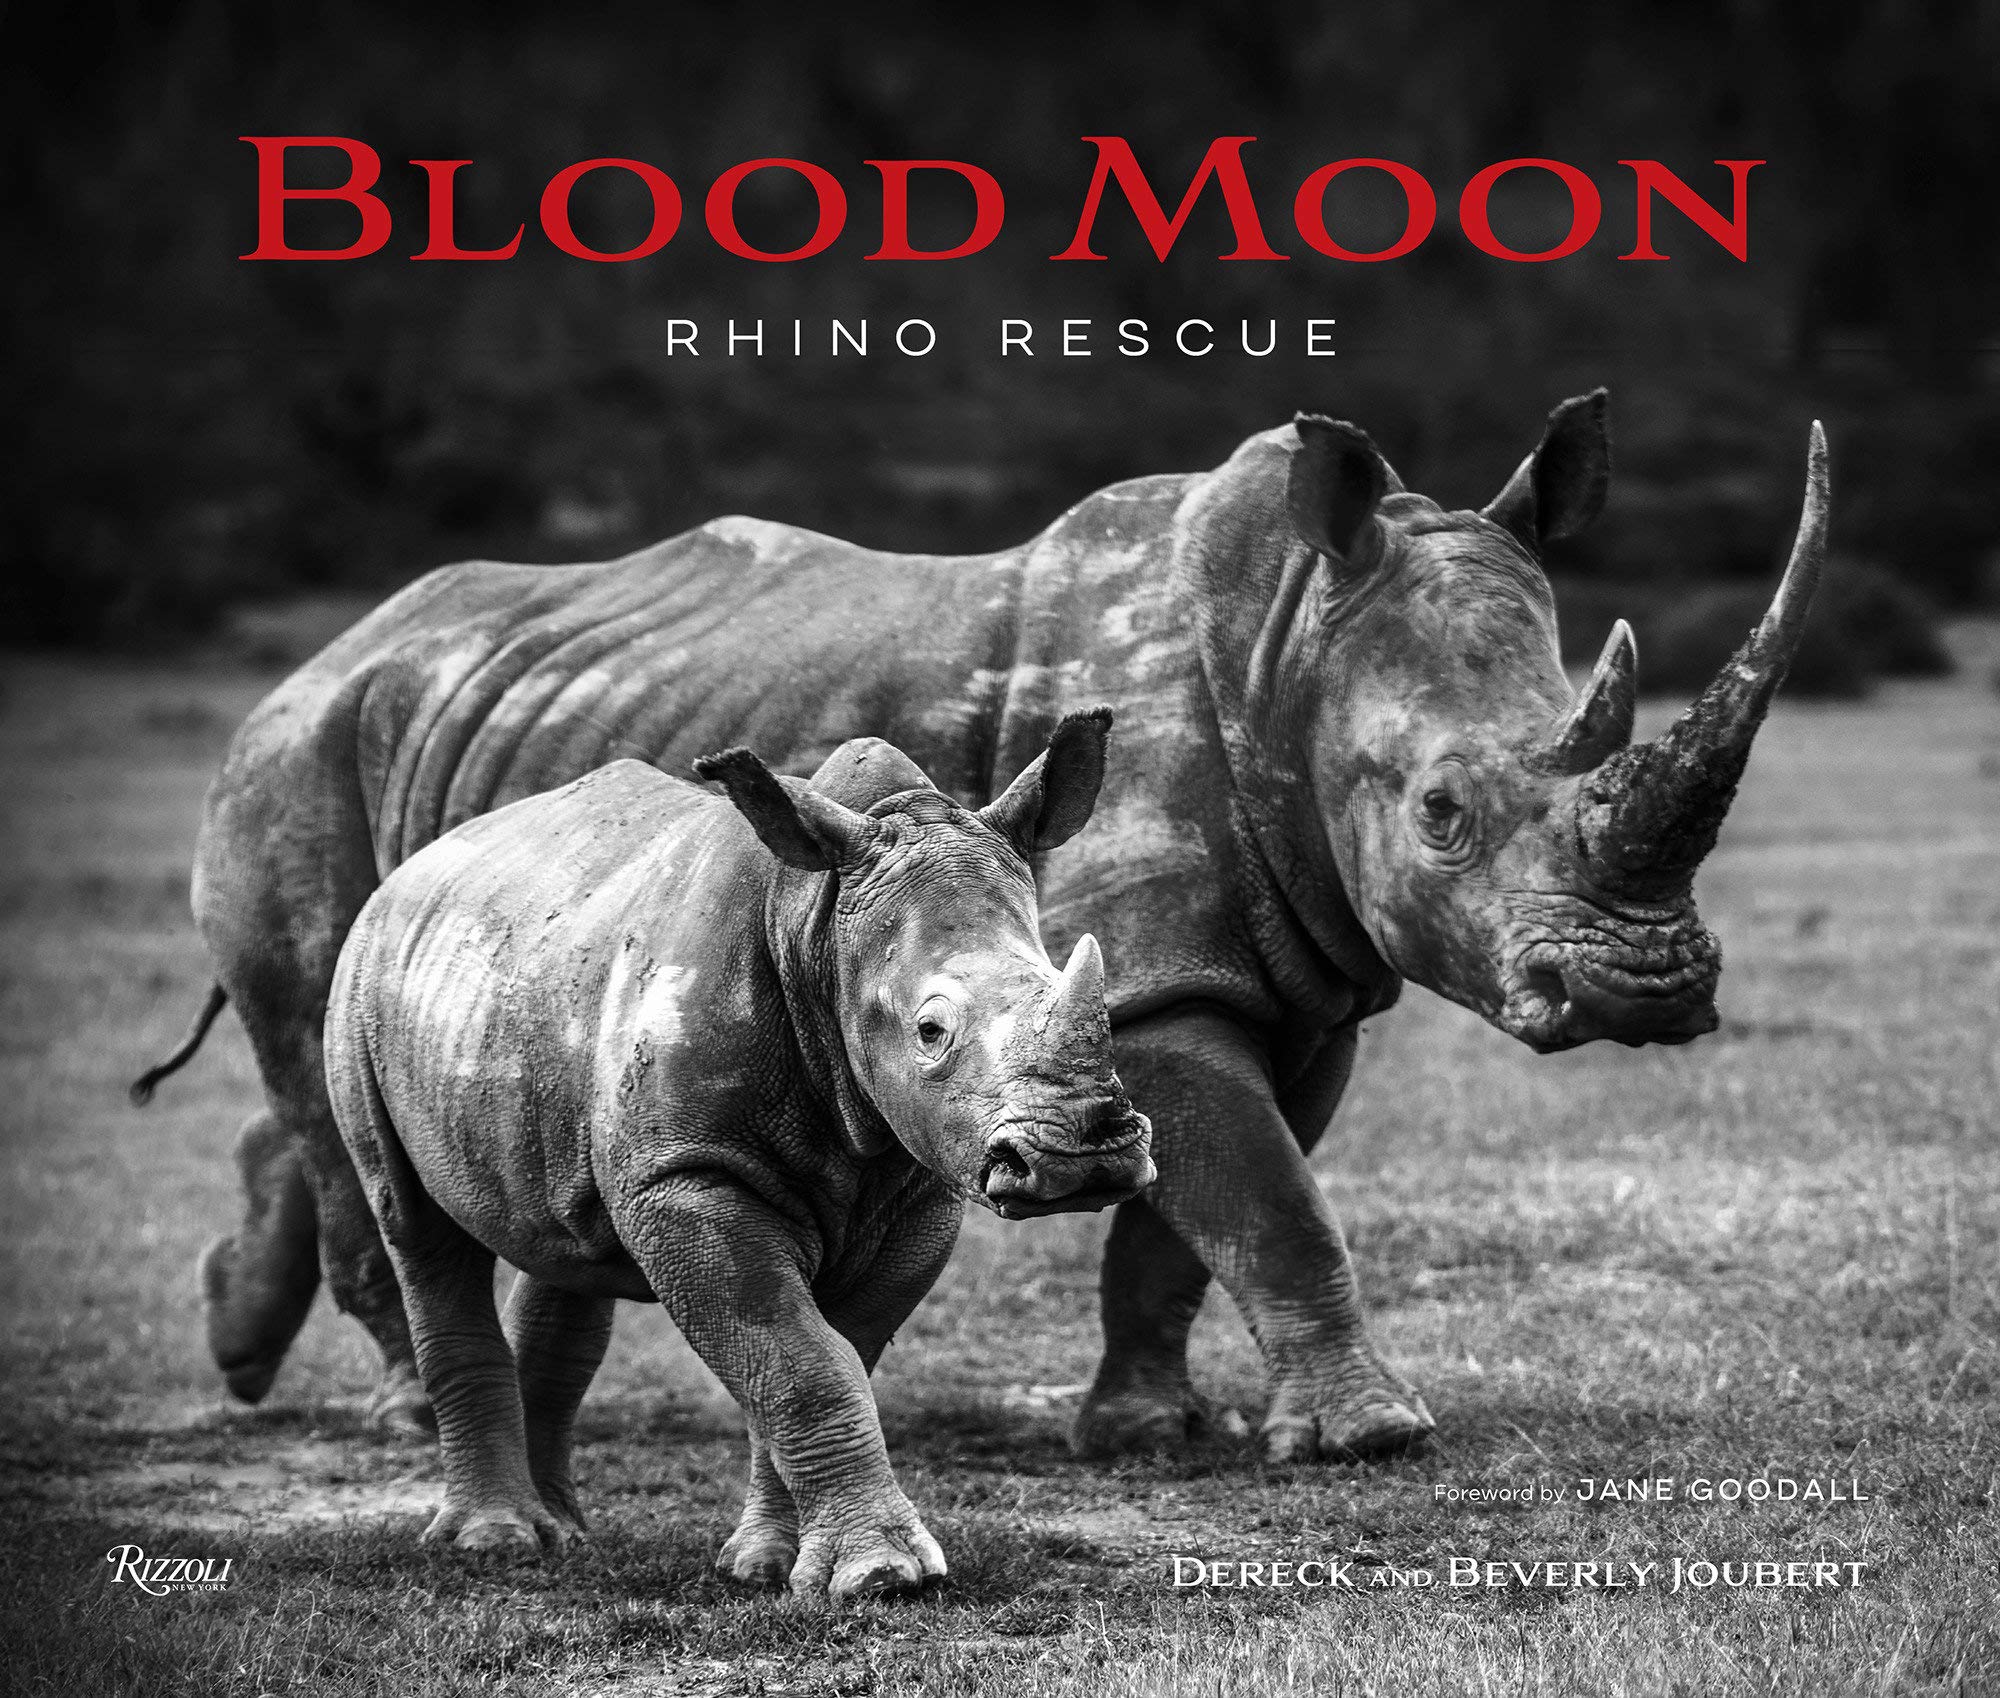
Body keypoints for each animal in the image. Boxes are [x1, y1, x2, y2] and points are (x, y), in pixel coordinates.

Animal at [137, 389, 1828, 1464]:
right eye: (1442, 814)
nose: (1654, 986)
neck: (1287, 644)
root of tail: (327, 650)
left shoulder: (1298, 980)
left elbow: (1189, 1214)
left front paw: (1146, 1430)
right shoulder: (1156, 981)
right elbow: (1269, 1198)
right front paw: (1370, 1437)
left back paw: (241, 1342)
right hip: (291, 759)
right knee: (321, 1061)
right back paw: (403, 1416)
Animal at [323, 716, 1155, 1597]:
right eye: (932, 1031)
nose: (1082, 1156)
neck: (816, 929)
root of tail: (411, 870)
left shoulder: (917, 1190)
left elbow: (826, 1354)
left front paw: (772, 1565)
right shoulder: (686, 1175)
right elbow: (798, 1361)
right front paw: (883, 1577)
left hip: (517, 979)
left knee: (564, 1245)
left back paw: (562, 1535)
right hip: (360, 978)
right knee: (418, 1230)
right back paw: (495, 1542)